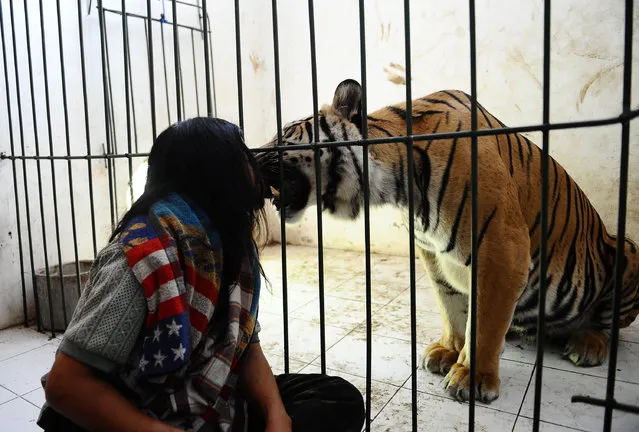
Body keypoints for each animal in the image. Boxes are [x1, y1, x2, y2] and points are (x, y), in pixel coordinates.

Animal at [255, 77, 639, 402]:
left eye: (284, 134)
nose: (249, 151)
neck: (397, 184)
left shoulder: (503, 249)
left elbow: (483, 323)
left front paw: (472, 376)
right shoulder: (432, 252)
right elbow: (451, 304)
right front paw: (448, 351)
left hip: (627, 253)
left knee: (607, 326)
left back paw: (587, 344)